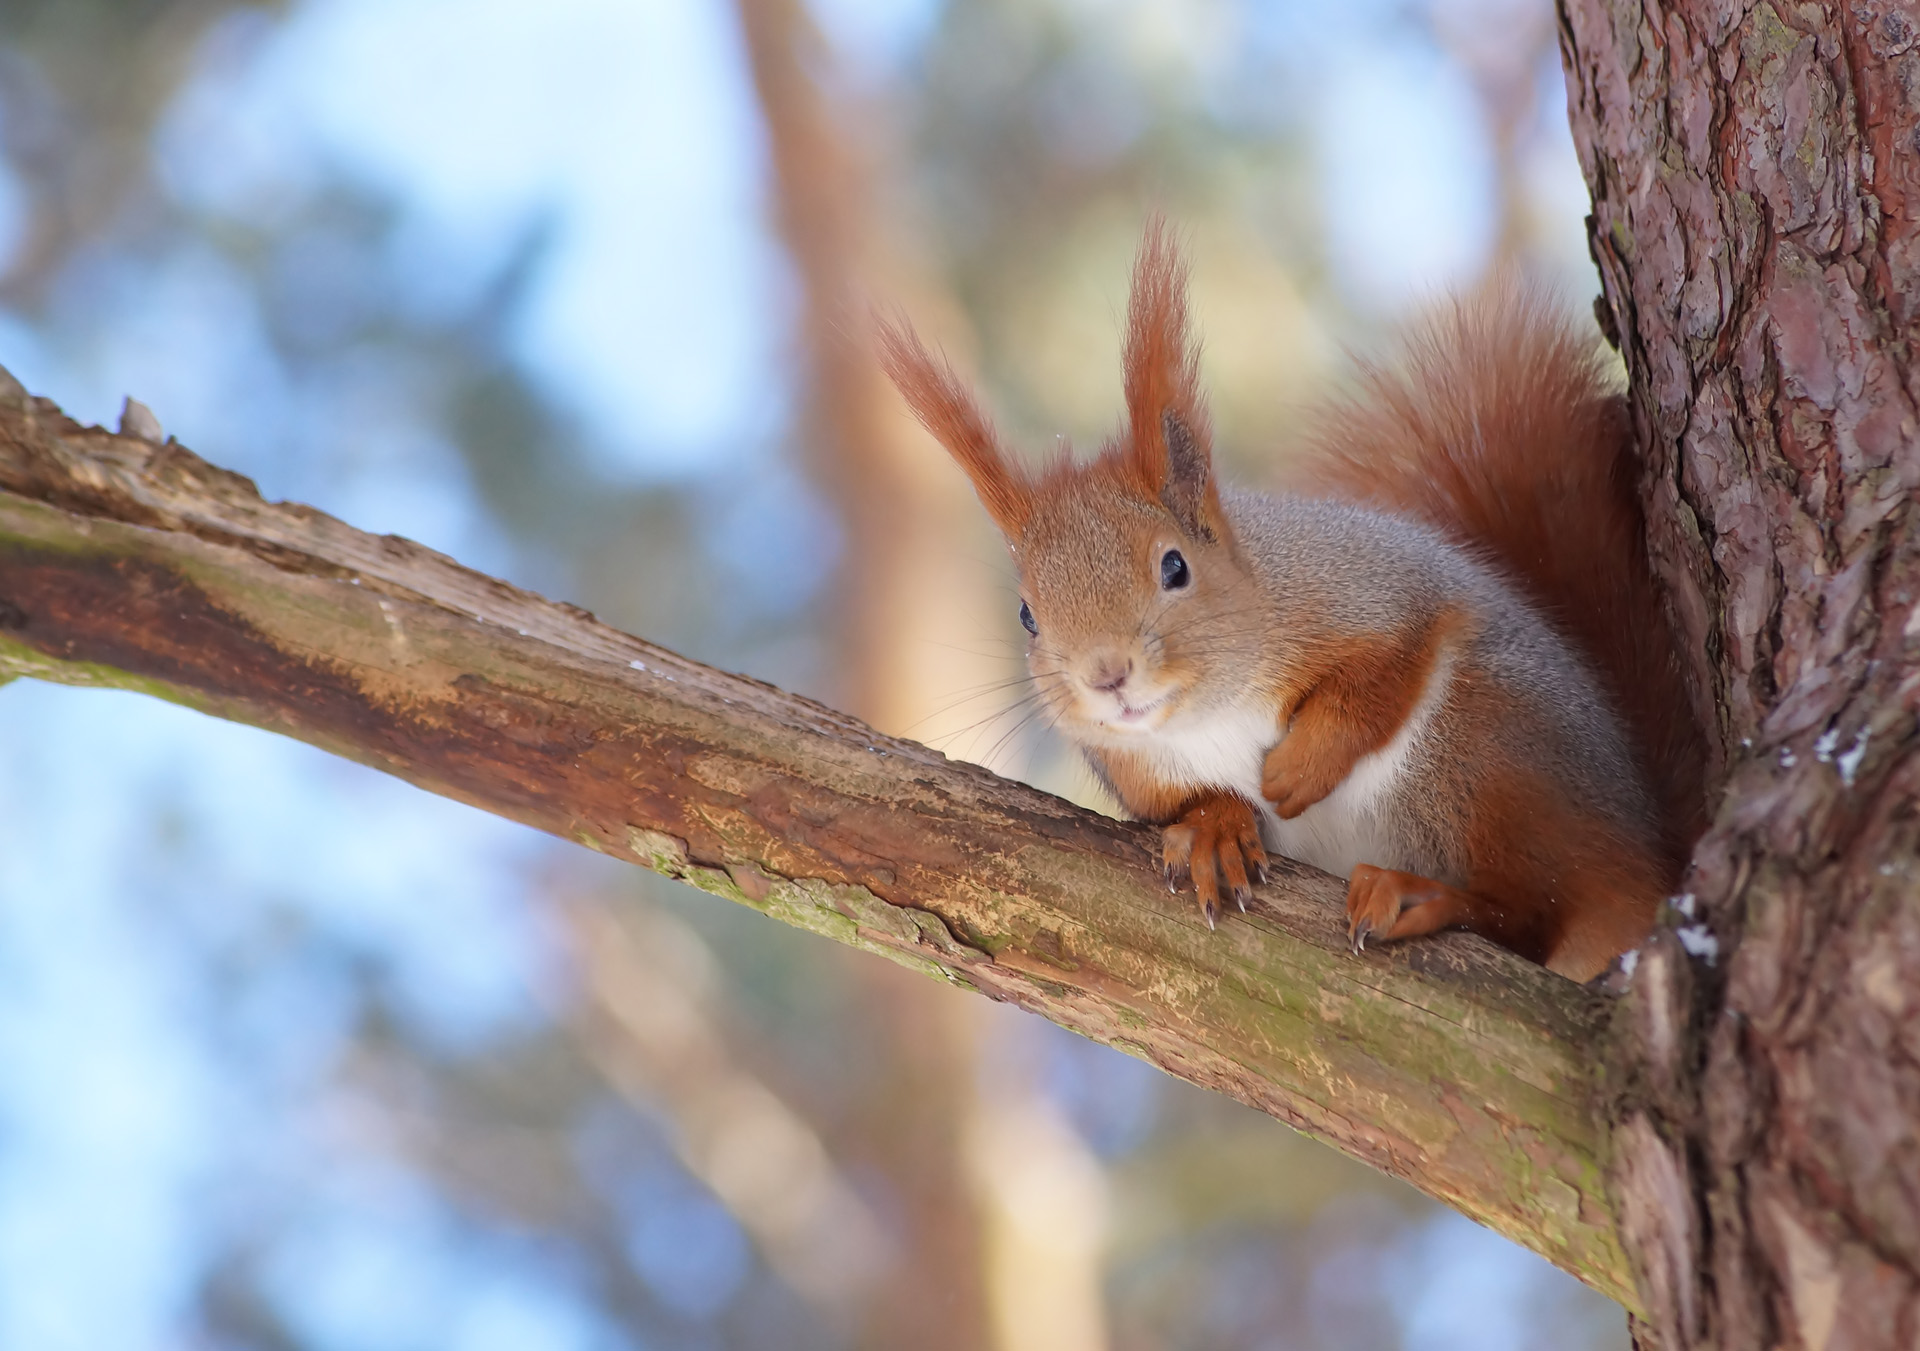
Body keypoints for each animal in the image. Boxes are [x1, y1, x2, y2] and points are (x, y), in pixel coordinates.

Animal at [879, 224, 1704, 982]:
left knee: (1529, 915)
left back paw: (1423, 896)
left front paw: (1297, 770)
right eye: (1027, 615)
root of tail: (1646, 845)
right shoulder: (1133, 767)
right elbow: (1183, 804)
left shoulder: (1372, 592)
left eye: (1174, 566)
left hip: (1490, 752)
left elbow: (1389, 670)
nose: (1106, 677)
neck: (1212, 714)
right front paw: (1214, 828)